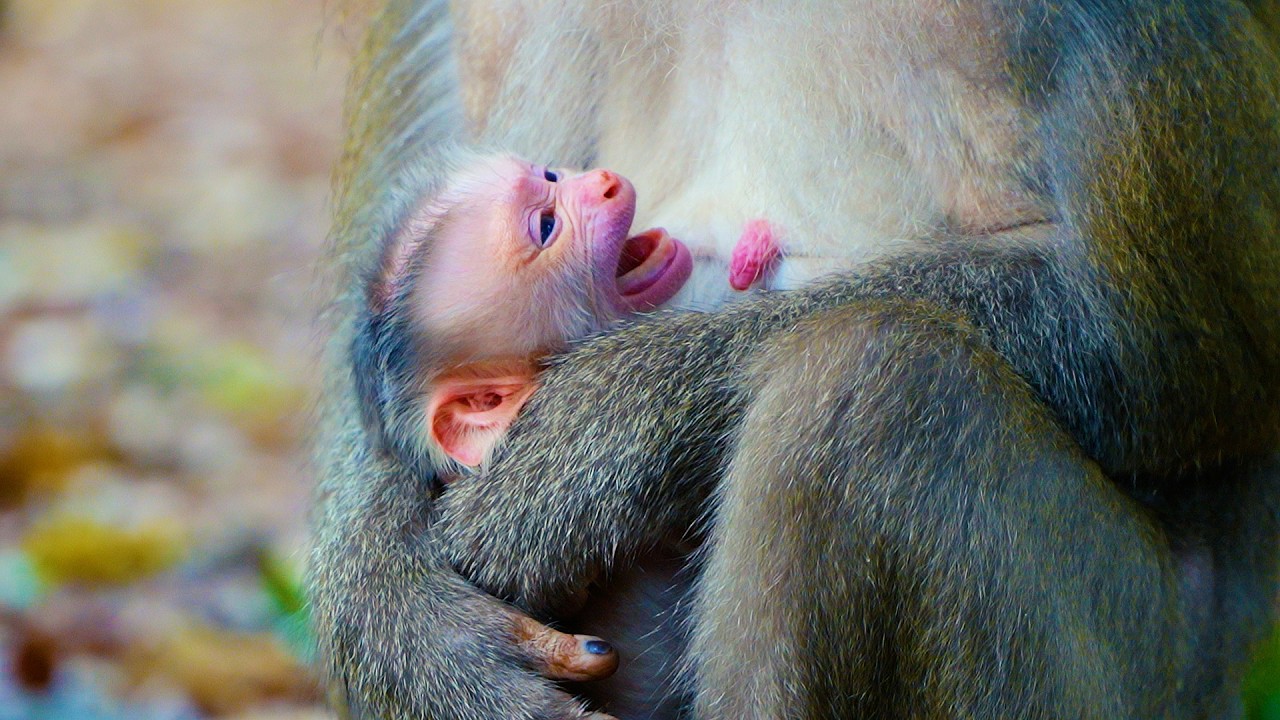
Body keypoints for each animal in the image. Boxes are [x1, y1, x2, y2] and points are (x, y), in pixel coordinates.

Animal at [309, 1, 1280, 719]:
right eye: (544, 221)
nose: (600, 187)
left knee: (869, 387)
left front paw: (597, 433)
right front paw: (398, 617)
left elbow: (1180, 346)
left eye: (554, 191)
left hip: (1152, 666)